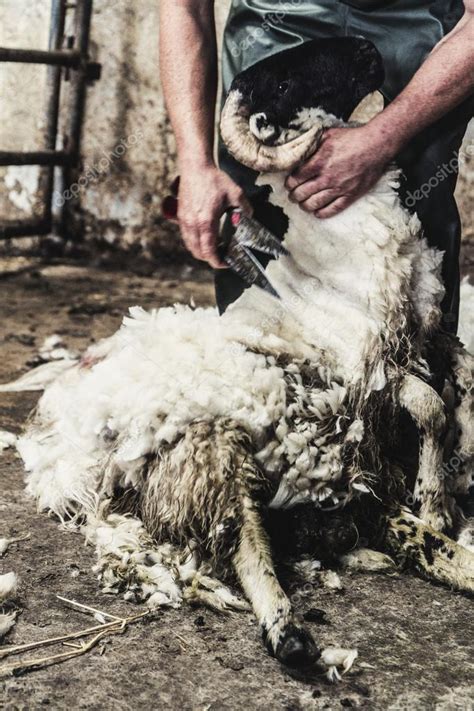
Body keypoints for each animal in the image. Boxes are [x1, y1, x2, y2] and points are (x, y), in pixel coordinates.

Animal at [2, 37, 470, 672]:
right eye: (282, 82)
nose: (367, 47)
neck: (339, 251)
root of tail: (66, 440)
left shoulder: (411, 349)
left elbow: (443, 396)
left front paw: (438, 494)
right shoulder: (362, 371)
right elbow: (429, 408)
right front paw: (435, 500)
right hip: (211, 444)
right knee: (243, 540)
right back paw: (287, 633)